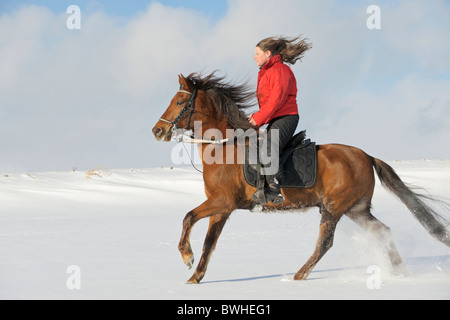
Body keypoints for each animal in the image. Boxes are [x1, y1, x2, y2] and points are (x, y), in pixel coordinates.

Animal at [153, 72, 450, 282]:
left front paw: (186, 257)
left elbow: (188, 217)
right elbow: (208, 243)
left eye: (179, 101)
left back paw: (298, 276)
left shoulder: (223, 202)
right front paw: (194, 277)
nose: (157, 131)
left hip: (333, 208)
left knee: (325, 243)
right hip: (356, 209)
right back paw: (400, 273)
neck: (225, 148)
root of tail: (367, 156)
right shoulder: (221, 208)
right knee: (383, 232)